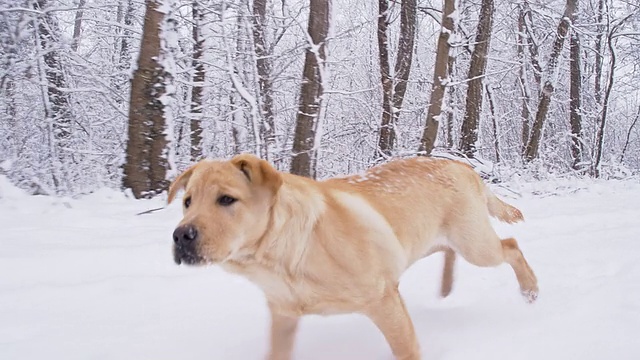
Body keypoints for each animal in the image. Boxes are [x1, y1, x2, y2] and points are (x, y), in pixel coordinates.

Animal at [168, 155, 536, 360]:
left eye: (226, 200)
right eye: (187, 202)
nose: (181, 235)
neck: (282, 256)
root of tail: (462, 163)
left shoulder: (384, 300)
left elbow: (406, 349)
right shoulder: (283, 316)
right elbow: (276, 353)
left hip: (476, 245)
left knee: (511, 245)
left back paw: (530, 290)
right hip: (435, 239)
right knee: (451, 251)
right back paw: (446, 288)